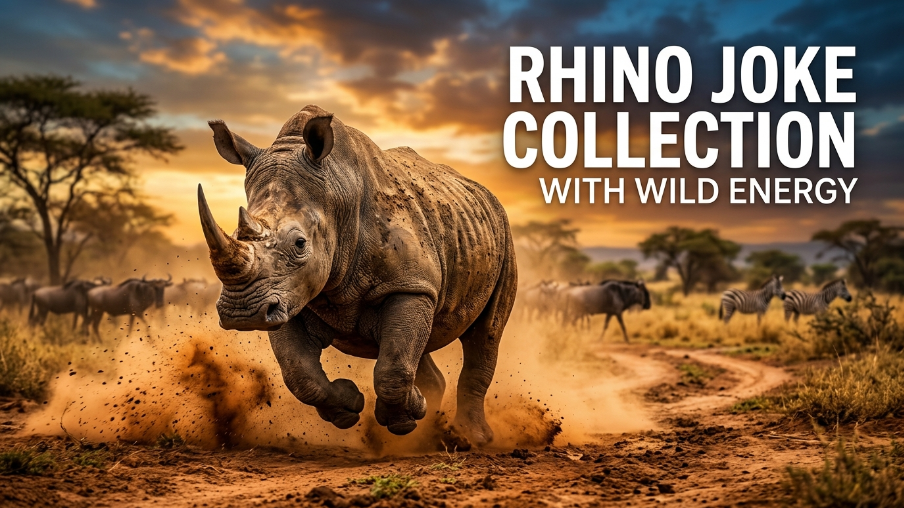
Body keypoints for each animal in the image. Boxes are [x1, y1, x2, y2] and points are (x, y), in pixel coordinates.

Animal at [197, 105, 517, 447]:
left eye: (300, 244)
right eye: (234, 234)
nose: (242, 313)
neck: (338, 196)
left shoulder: (409, 285)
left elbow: (394, 366)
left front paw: (405, 417)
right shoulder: (285, 295)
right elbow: (298, 372)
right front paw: (353, 407)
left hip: (502, 233)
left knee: (486, 333)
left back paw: (470, 438)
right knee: (424, 342)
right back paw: (428, 426)